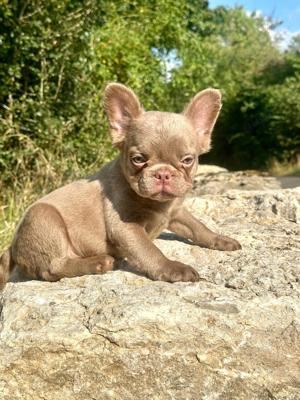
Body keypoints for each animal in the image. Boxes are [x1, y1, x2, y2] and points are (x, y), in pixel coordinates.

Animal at [0, 83, 240, 288]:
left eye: (188, 160)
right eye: (138, 159)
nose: (163, 173)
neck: (157, 204)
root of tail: (12, 247)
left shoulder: (176, 213)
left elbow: (198, 227)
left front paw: (219, 239)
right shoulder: (126, 228)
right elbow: (149, 250)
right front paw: (172, 267)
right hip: (44, 218)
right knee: (51, 268)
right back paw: (98, 263)